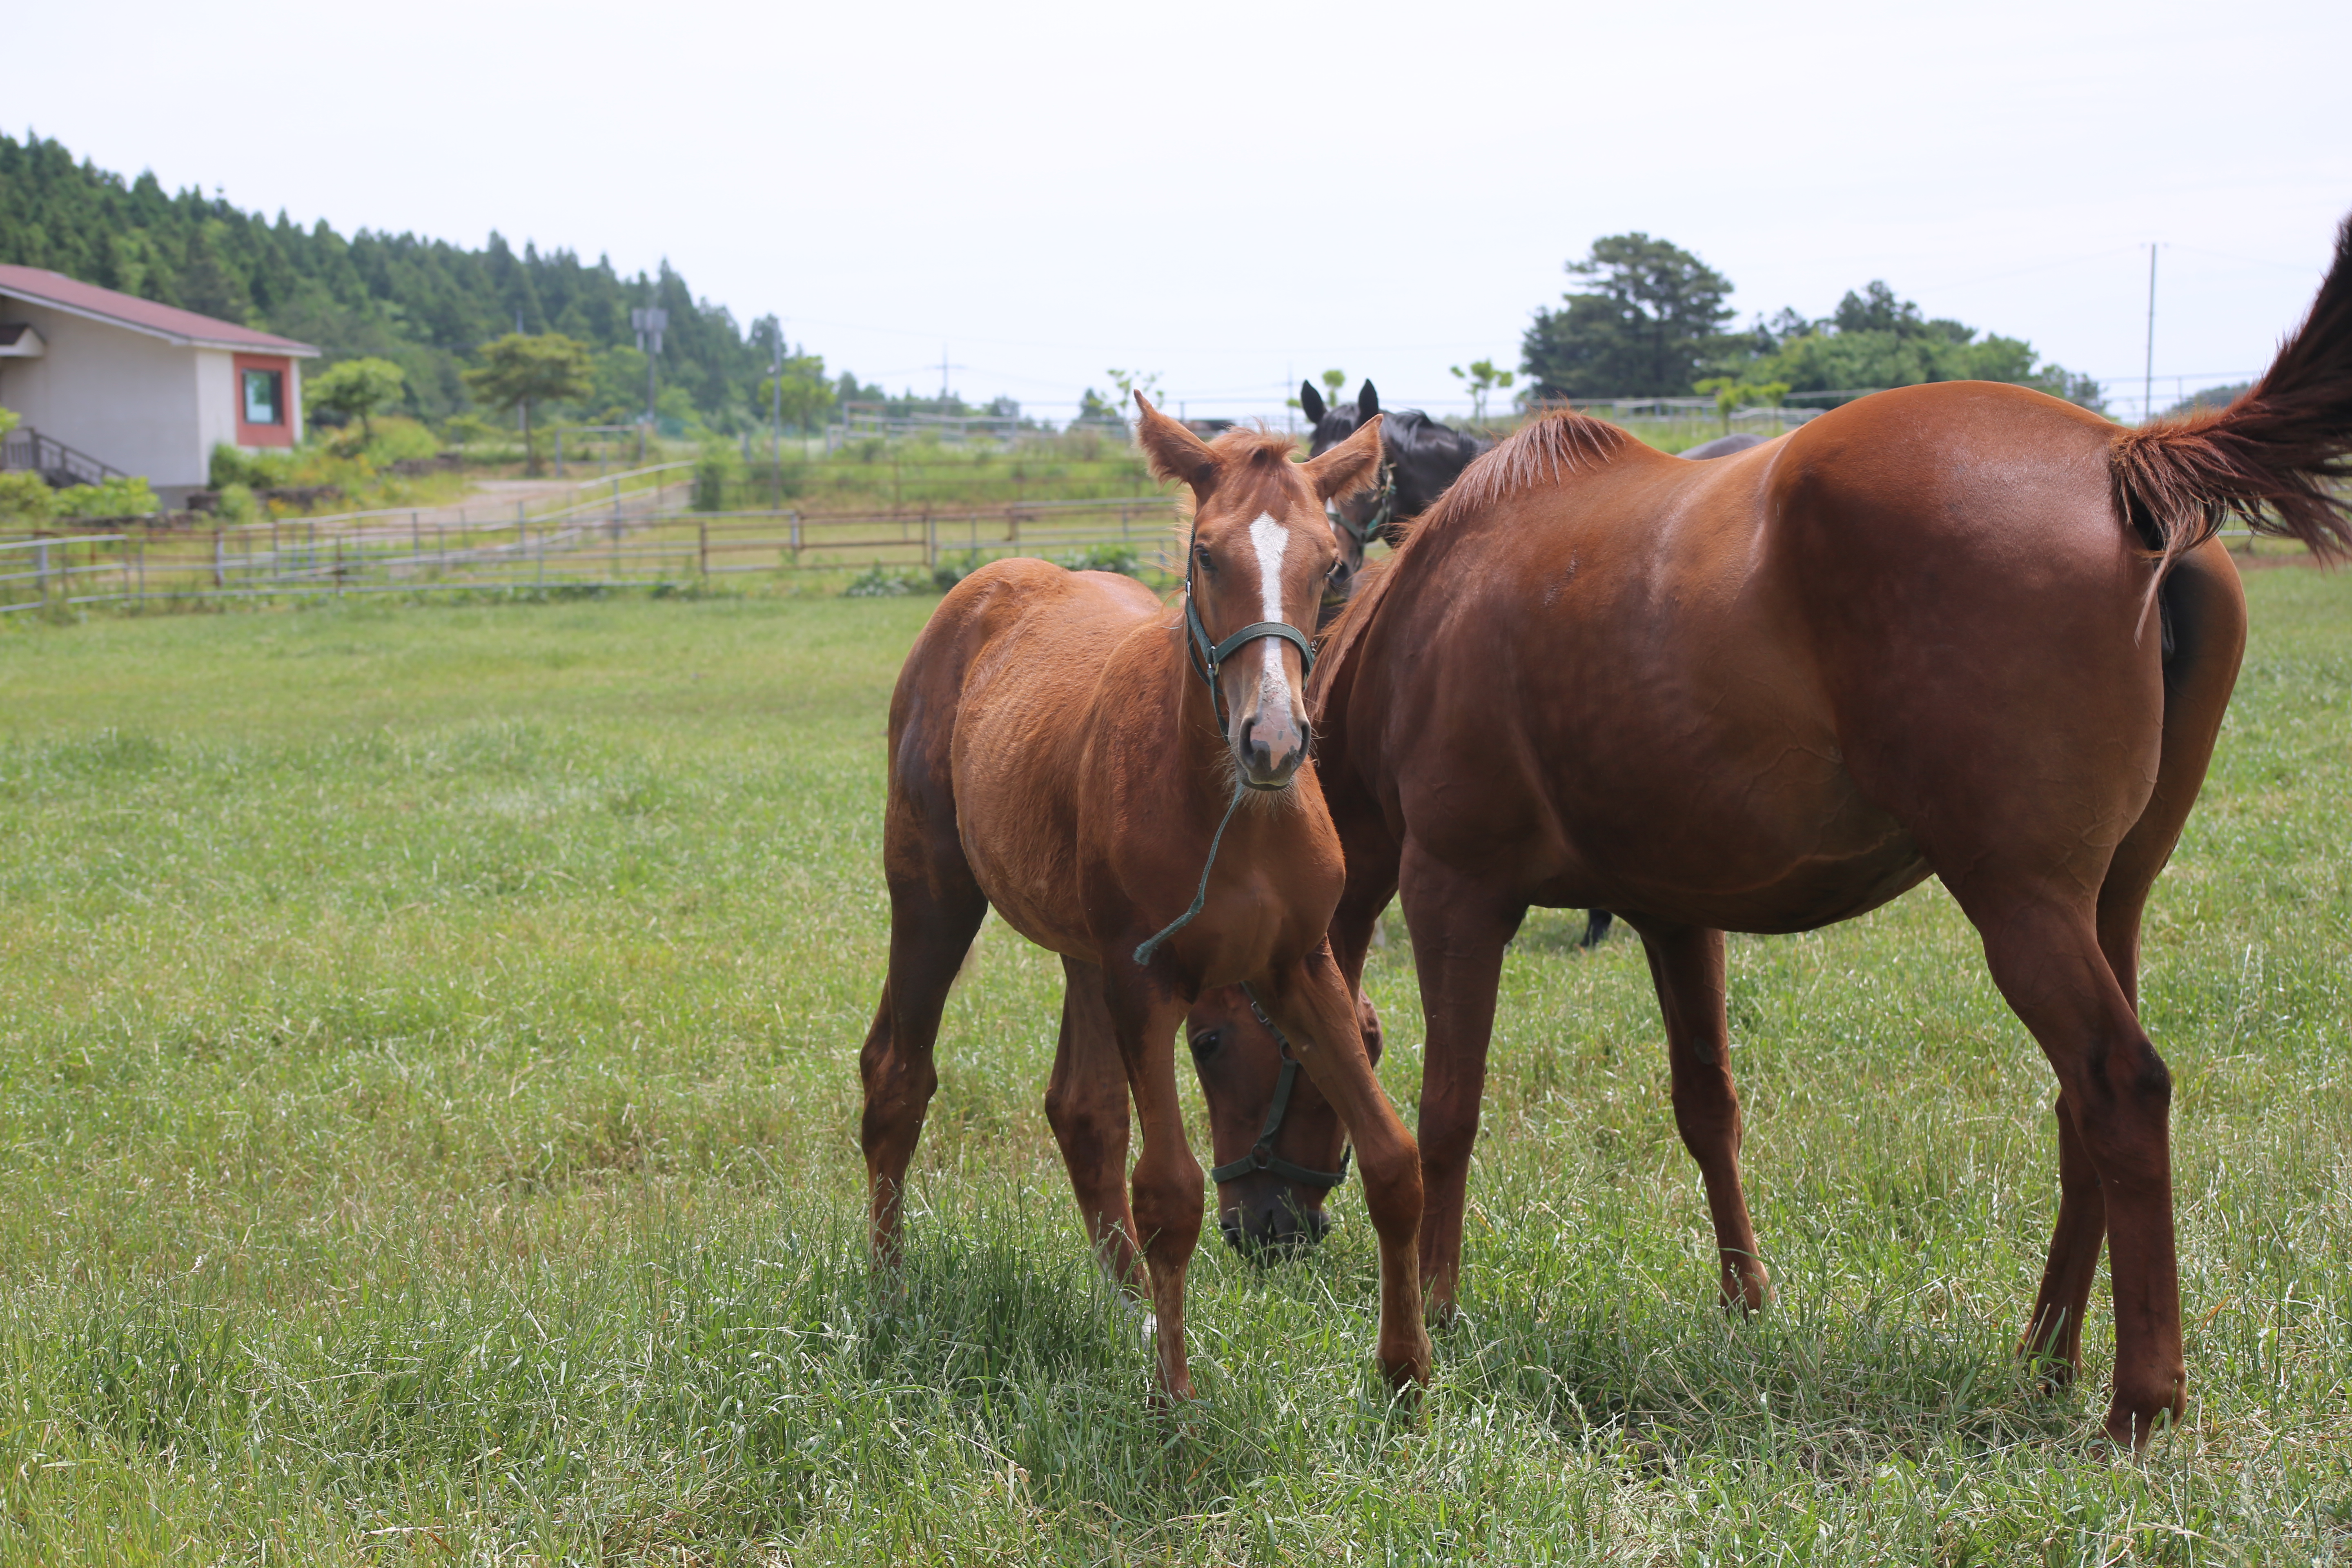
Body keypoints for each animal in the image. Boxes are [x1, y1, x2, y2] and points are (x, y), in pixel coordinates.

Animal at [856, 392, 1421, 1401]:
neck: (1233, 806)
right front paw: (1175, 1401)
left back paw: (1128, 1311)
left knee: (1082, 1111)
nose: (1274, 739)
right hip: (933, 893)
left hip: (1082, 950)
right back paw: (888, 1293)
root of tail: (986, 582)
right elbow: (1172, 1192)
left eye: (1331, 565)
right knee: (896, 1074)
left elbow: (1396, 1161)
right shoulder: (1146, 980)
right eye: (1206, 554)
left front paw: (1407, 1377)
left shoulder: (1296, 963)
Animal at [1214, 221, 2352, 1448]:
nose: (1252, 1231)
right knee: (2077, 1110)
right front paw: (1745, 1296)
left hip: (2020, 903)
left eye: (1214, 1043)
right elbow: (1706, 1103)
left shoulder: (1454, 894)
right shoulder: (1671, 909)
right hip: (2110, 900)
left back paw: (2139, 1399)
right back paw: (2046, 1351)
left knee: (2120, 1090)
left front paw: (1434, 1303)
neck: (1423, 624)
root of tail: (2120, 457)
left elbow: (1449, 1111)